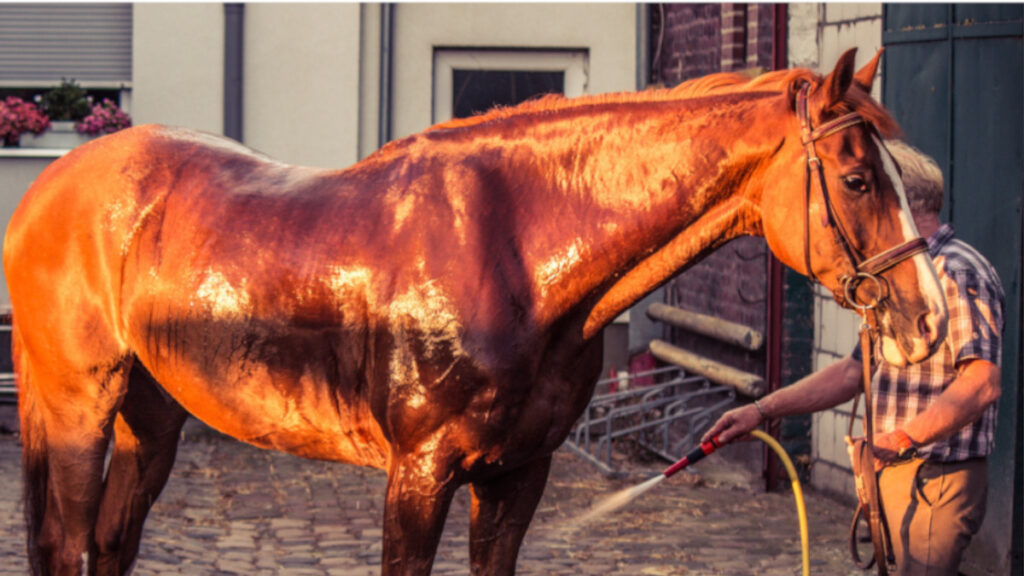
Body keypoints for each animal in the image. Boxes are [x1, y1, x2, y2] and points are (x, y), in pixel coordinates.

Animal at [5, 48, 946, 576]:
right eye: (858, 178)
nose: (928, 320)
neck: (512, 250)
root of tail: (54, 184)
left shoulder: (516, 474)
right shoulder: (419, 478)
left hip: (152, 416)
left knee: (111, 542)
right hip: (77, 411)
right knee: (64, 545)